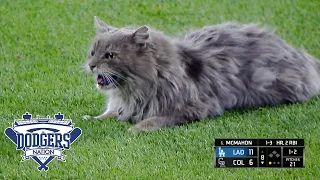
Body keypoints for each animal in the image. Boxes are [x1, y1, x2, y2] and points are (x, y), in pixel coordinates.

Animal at [83, 16, 320, 132]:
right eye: (93, 52)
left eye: (110, 55)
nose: (91, 65)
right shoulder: (121, 106)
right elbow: (107, 114)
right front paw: (91, 118)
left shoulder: (193, 107)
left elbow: (154, 120)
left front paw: (134, 129)